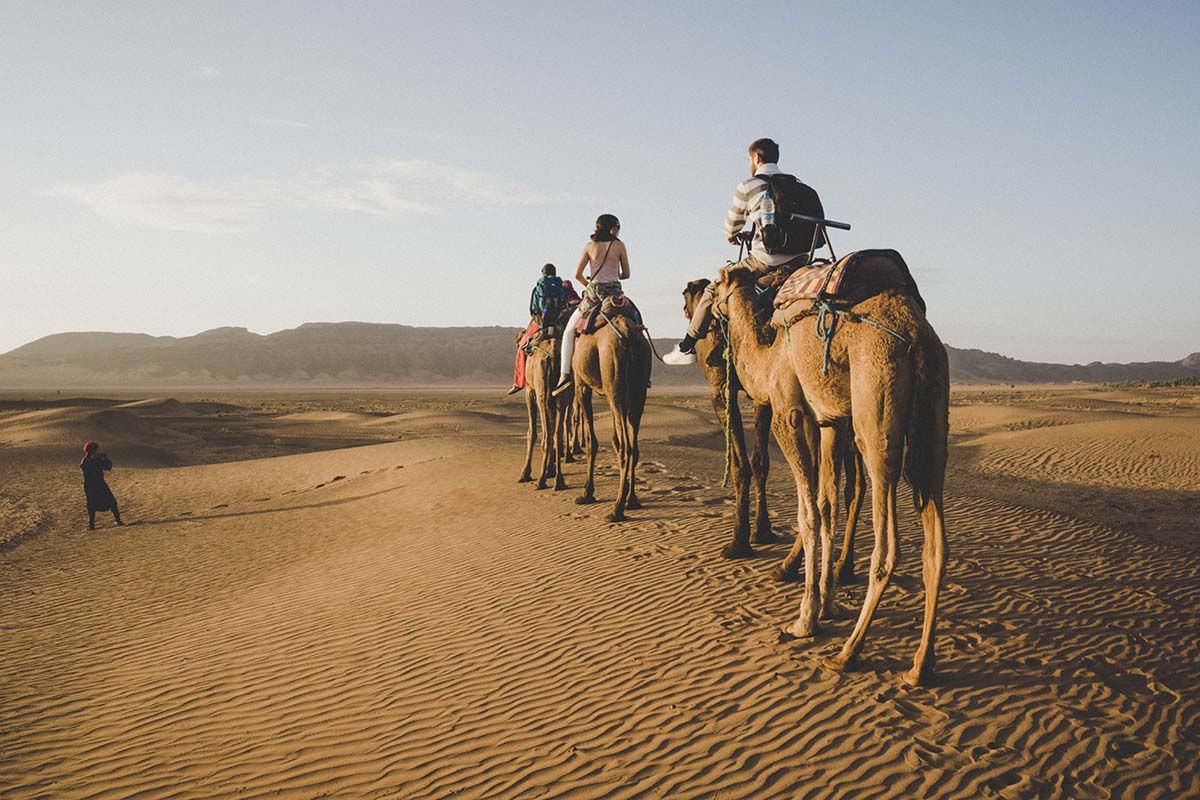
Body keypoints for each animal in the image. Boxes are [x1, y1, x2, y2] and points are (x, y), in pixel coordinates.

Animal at [516, 331, 566, 491]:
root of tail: (554, 354)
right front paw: (551, 469)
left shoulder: (530, 390)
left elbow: (531, 433)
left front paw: (525, 473)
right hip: (563, 390)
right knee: (556, 433)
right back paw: (559, 481)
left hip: (541, 385)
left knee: (547, 435)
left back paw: (541, 480)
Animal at [568, 311, 652, 525]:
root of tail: (628, 334)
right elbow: (614, 439)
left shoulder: (581, 384)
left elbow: (592, 442)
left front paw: (587, 493)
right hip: (637, 389)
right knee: (633, 446)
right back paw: (632, 500)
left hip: (614, 378)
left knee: (626, 449)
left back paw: (617, 509)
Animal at [686, 278, 864, 578]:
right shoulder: (764, 396)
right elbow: (760, 461)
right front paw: (762, 531)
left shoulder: (722, 390)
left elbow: (741, 465)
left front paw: (738, 543)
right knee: (854, 484)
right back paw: (842, 566)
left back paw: (797, 566)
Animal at [705, 257, 950, 690]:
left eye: (716, 285)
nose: (703, 320)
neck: (768, 359)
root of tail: (916, 336)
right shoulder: (831, 422)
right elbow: (827, 507)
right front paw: (829, 604)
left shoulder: (788, 413)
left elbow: (808, 514)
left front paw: (805, 619)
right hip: (934, 421)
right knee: (935, 546)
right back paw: (921, 666)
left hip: (875, 410)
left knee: (887, 546)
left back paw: (848, 653)